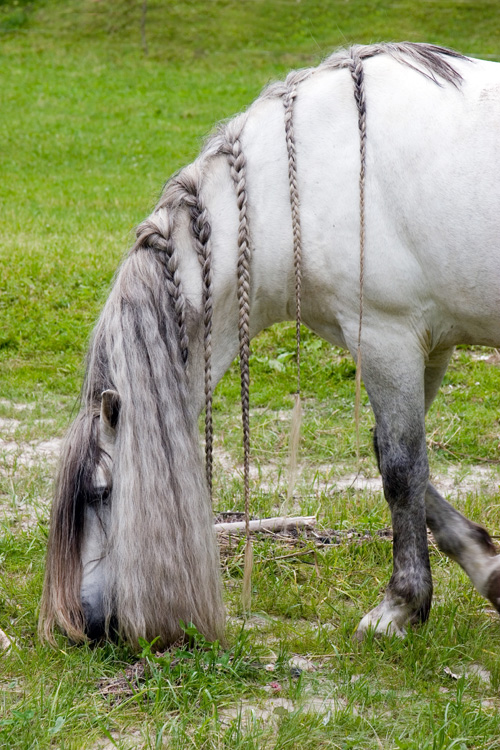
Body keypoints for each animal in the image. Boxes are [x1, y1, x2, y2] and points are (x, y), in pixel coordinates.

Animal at [40, 44, 500, 648]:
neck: (299, 184)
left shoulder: (387, 337)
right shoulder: (430, 343)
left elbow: (402, 470)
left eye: (100, 491)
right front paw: (488, 570)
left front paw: (399, 606)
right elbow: (397, 460)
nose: (90, 626)